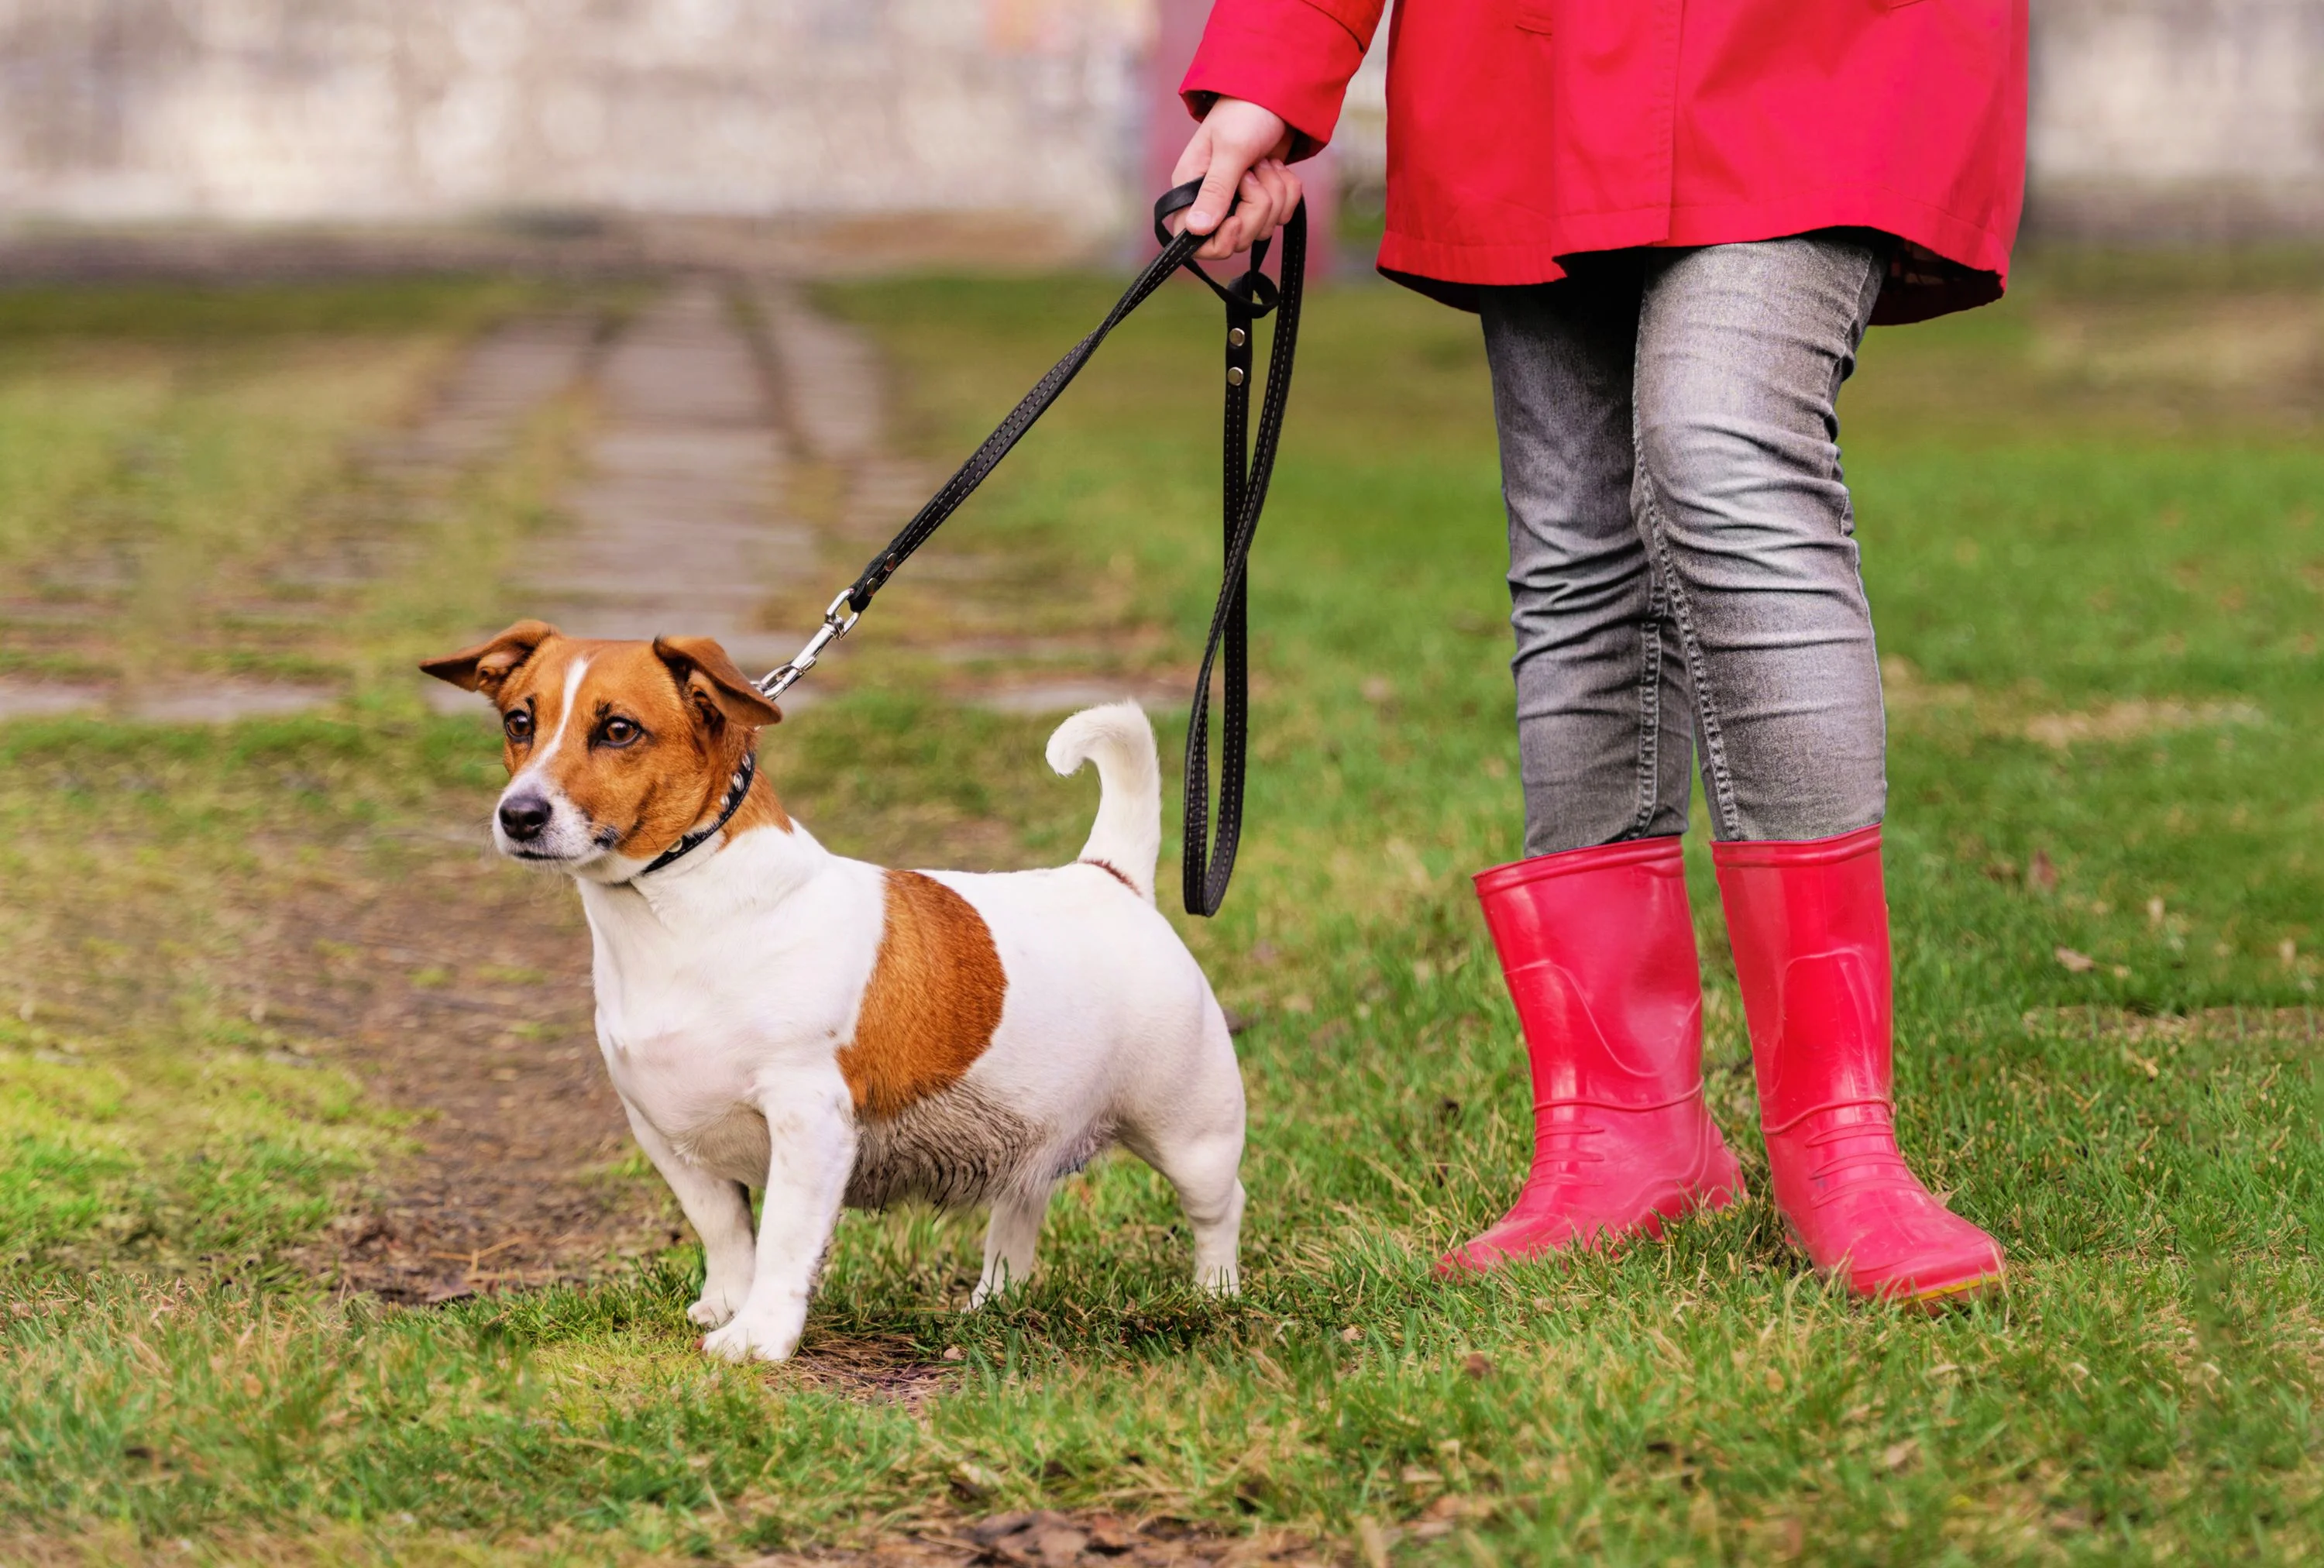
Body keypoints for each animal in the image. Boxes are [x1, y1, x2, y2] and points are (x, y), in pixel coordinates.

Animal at [418, 622, 1255, 1366]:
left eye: (619, 729)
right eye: (519, 722)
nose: (519, 815)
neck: (685, 912)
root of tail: (1109, 875)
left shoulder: (809, 1121)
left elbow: (784, 1240)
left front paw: (759, 1340)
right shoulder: (663, 1131)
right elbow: (725, 1231)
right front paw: (727, 1304)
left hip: (1193, 1134)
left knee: (1219, 1208)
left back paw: (1214, 1297)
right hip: (1030, 1131)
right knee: (1021, 1210)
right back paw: (996, 1302)